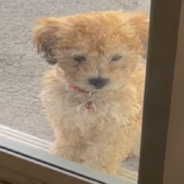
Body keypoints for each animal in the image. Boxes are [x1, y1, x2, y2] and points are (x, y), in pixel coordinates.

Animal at [32, 10, 148, 175]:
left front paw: (97, 171)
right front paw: (62, 158)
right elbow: (68, 145)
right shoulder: (68, 121)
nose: (98, 80)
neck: (90, 97)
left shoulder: (115, 128)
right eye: (79, 57)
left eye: (116, 57)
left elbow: (102, 155)